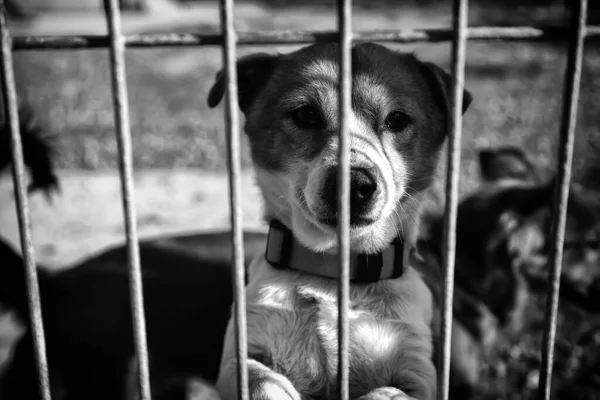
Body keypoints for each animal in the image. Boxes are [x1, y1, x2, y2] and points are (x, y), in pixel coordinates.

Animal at [209, 41, 472, 400]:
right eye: (306, 114)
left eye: (397, 119)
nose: (354, 184)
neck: (333, 274)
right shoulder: (244, 351)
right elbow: (263, 381)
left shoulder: (415, 371)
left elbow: (387, 392)